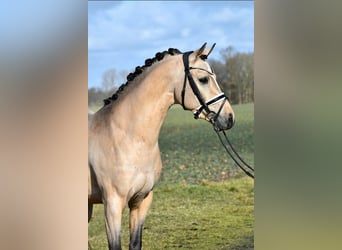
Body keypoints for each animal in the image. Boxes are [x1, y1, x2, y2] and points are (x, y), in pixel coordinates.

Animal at [88, 43, 235, 250]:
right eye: (204, 79)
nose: (229, 118)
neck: (128, 138)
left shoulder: (141, 201)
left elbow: (135, 243)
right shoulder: (112, 206)